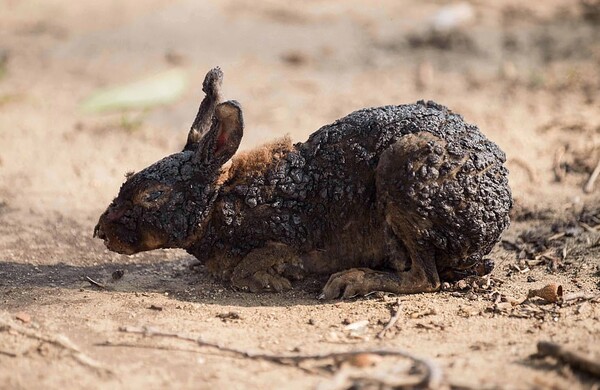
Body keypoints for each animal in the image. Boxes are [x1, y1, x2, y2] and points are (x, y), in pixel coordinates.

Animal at [94, 67, 510, 298]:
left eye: (152, 195)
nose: (100, 231)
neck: (219, 202)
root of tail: (498, 211)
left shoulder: (288, 236)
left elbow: (248, 267)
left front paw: (269, 282)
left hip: (404, 167)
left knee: (426, 278)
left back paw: (352, 282)